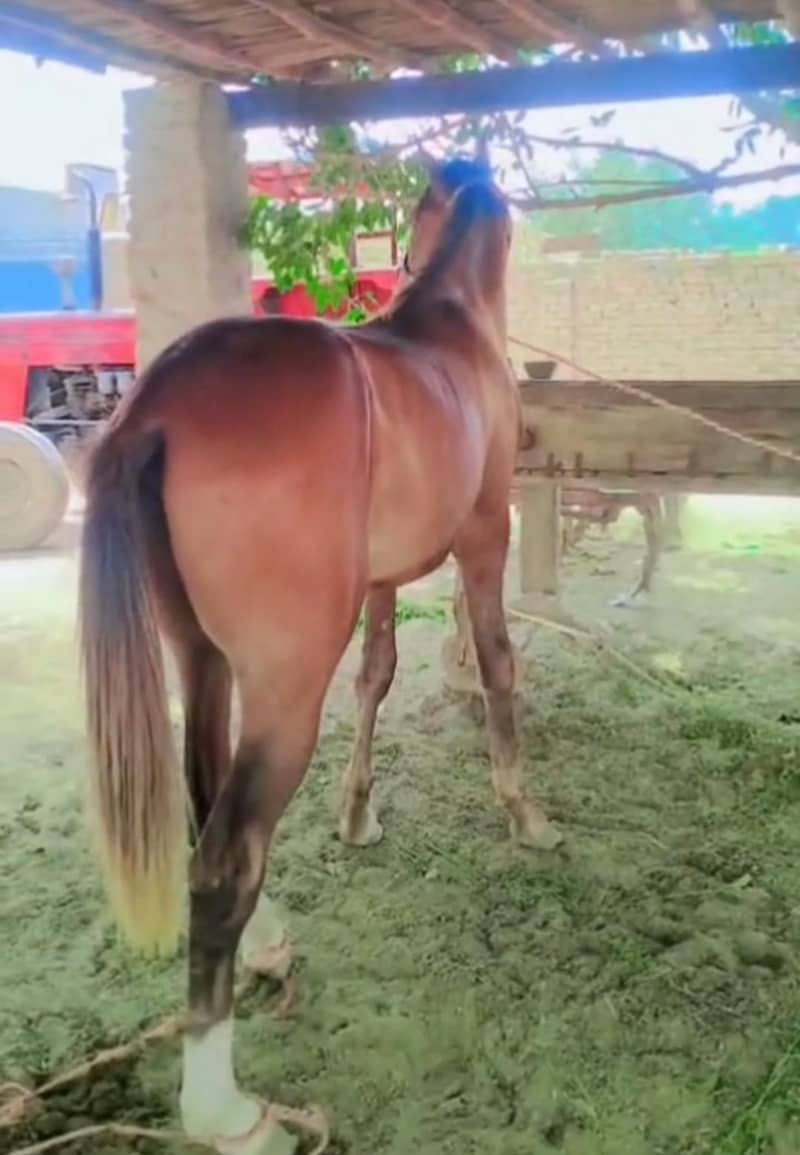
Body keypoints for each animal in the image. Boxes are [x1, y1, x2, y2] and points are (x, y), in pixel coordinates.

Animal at [79, 157, 561, 1155]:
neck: (449, 320)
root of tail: (158, 406)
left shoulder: (382, 578)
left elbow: (378, 676)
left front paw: (358, 811)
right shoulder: (484, 537)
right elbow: (498, 662)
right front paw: (523, 811)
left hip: (204, 657)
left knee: (205, 798)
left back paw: (266, 946)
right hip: (286, 684)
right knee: (224, 857)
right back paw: (226, 1110)